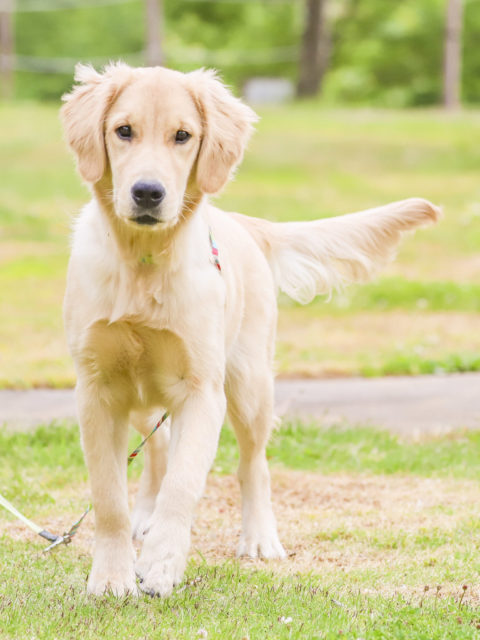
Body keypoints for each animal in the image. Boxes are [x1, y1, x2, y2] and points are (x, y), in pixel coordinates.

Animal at [62, 62, 440, 596]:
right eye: (123, 131)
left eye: (183, 136)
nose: (148, 192)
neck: (143, 262)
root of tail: (244, 223)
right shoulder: (96, 389)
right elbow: (109, 496)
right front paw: (113, 577)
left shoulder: (202, 390)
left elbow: (184, 484)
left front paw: (160, 564)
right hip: (139, 398)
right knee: (157, 446)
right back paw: (145, 517)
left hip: (249, 384)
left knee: (252, 464)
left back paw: (259, 538)